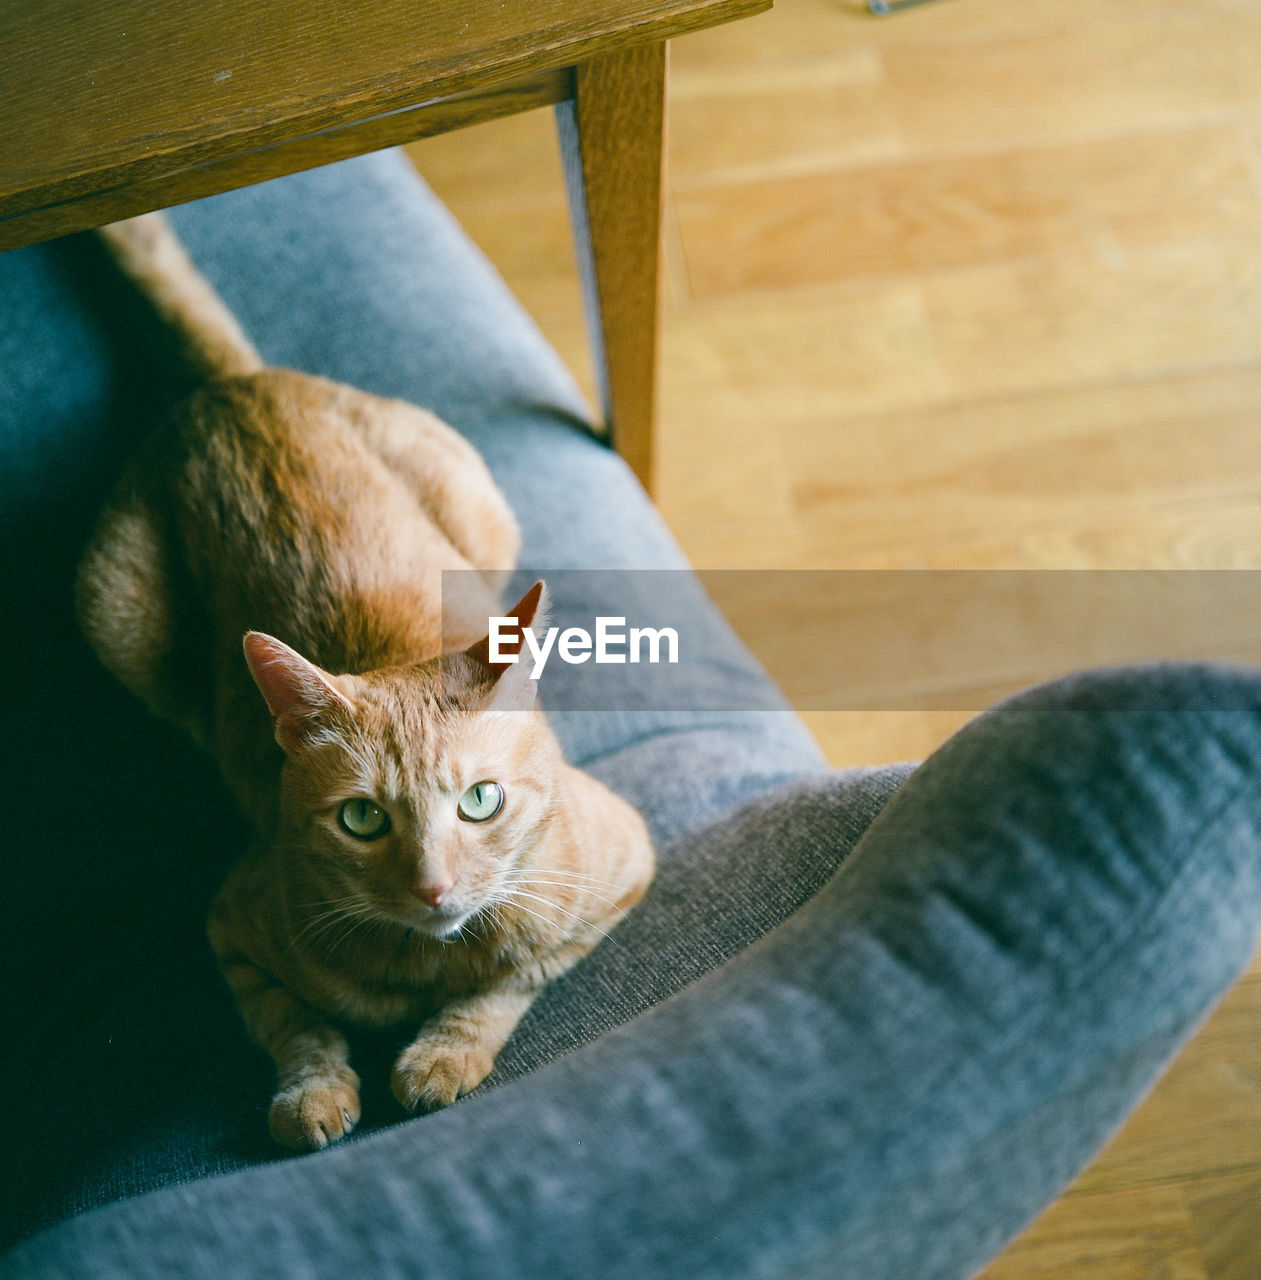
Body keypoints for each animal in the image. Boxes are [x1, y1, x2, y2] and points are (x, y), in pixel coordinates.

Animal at [76, 209, 660, 1152]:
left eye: (480, 802)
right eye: (361, 819)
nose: (432, 887)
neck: (425, 961)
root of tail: (230, 390)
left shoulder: (620, 876)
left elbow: (507, 983)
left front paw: (442, 1056)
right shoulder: (234, 927)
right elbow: (297, 1028)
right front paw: (313, 1096)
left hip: (483, 511)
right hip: (113, 618)